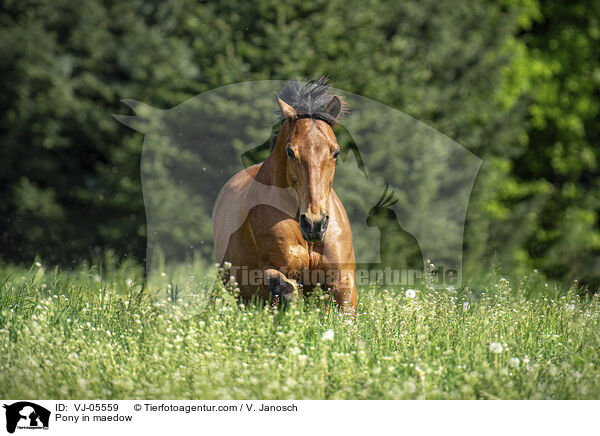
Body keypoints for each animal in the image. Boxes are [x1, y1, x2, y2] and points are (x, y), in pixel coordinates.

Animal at [213, 76, 356, 312]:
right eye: (290, 151)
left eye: (336, 152)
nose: (314, 224)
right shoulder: (274, 269)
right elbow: (286, 290)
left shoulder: (343, 279)